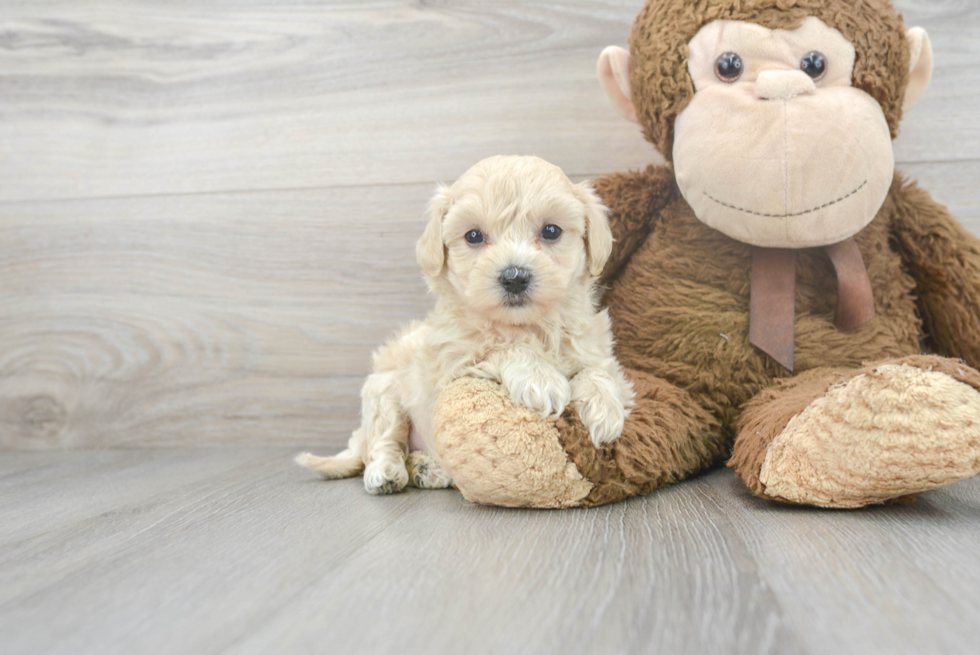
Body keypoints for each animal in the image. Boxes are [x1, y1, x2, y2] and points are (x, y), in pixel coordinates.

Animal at [296, 156, 636, 494]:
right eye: (473, 236)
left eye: (551, 231)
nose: (514, 277)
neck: (526, 325)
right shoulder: (453, 368)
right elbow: (501, 350)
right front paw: (541, 379)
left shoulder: (598, 352)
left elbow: (598, 371)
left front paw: (605, 409)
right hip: (384, 391)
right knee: (384, 440)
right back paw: (387, 473)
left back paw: (428, 470)